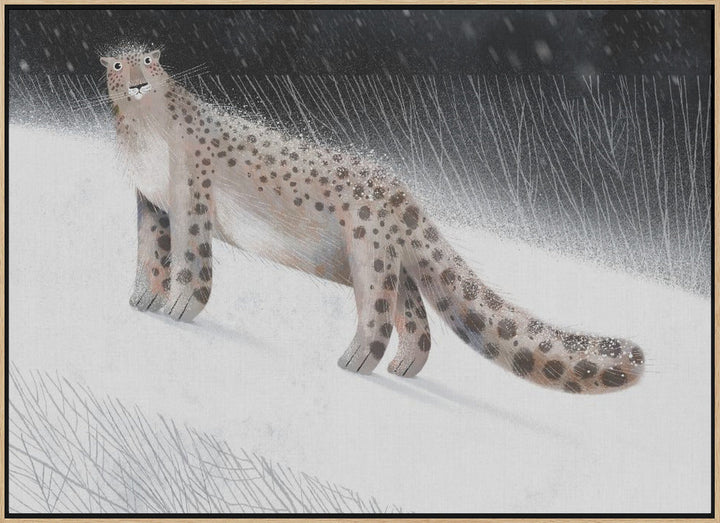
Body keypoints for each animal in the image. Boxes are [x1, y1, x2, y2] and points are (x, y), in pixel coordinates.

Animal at [100, 47, 645, 393]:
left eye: (150, 61)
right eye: (118, 64)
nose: (138, 83)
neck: (143, 137)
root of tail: (405, 194)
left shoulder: (190, 199)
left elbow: (191, 260)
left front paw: (178, 307)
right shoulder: (152, 203)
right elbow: (151, 253)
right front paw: (143, 298)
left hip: (369, 251)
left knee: (379, 312)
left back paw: (356, 360)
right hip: (392, 263)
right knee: (417, 317)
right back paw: (404, 366)